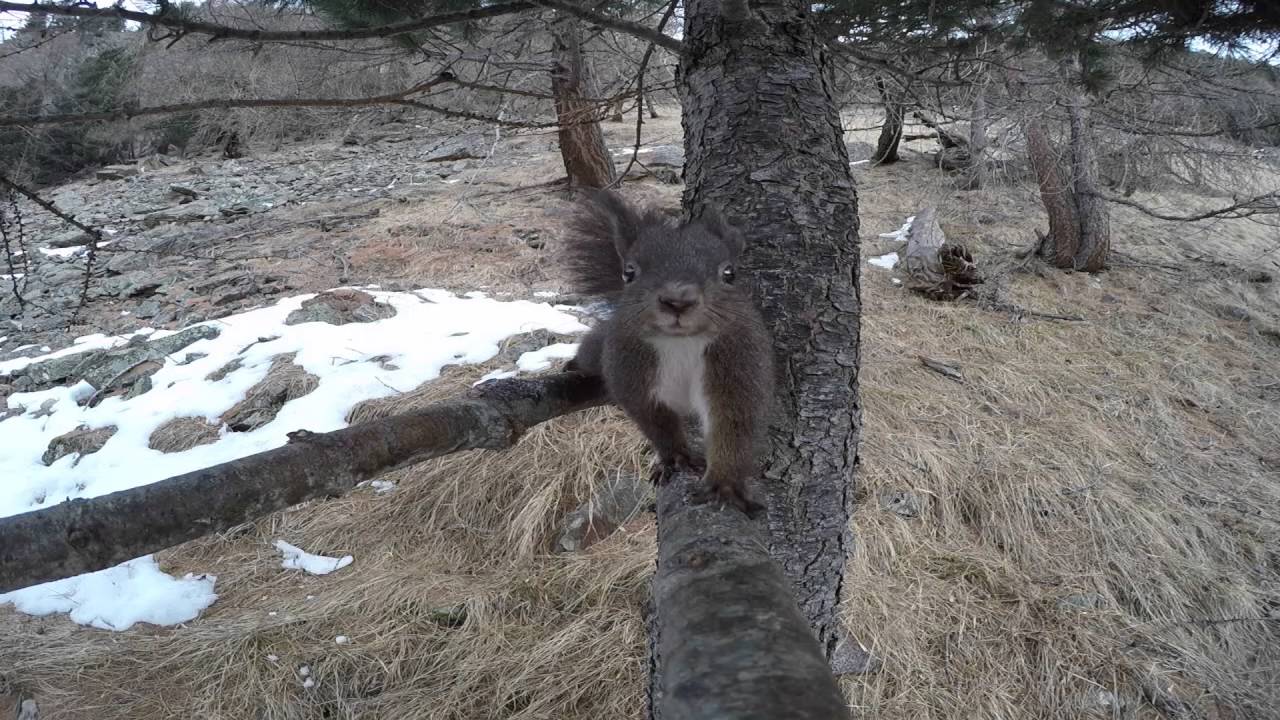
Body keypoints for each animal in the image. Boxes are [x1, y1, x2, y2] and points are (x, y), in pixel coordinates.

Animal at [561, 190, 775, 515]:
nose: (678, 300)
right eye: (629, 272)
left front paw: (724, 482)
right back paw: (574, 364)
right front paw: (676, 456)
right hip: (602, 347)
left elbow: (732, 421)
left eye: (729, 273)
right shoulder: (629, 368)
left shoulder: (738, 363)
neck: (681, 342)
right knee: (589, 352)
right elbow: (654, 419)